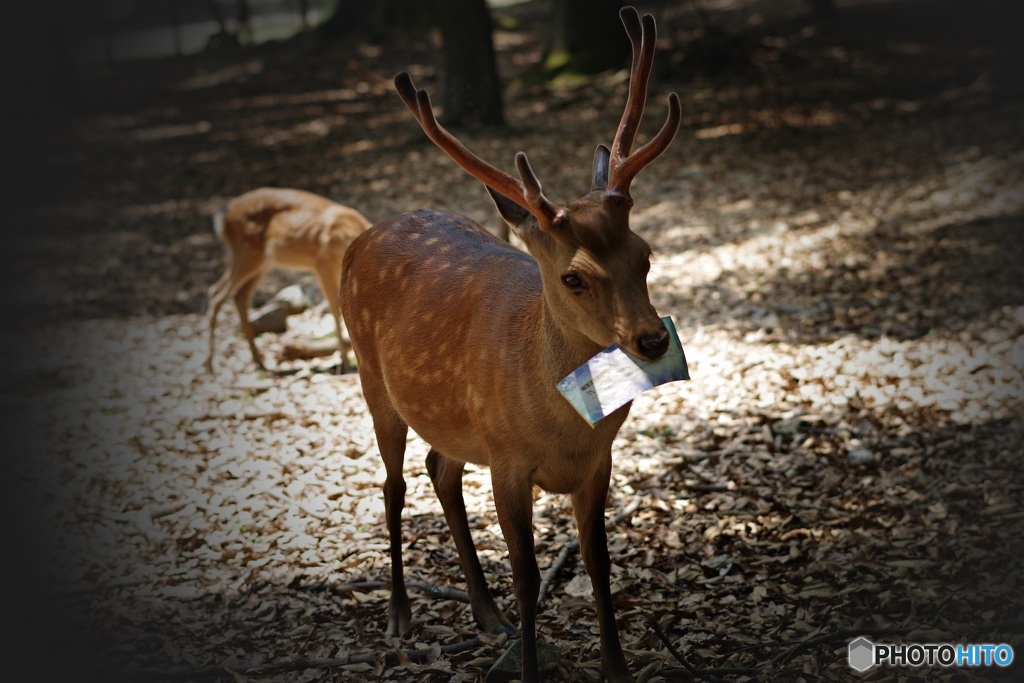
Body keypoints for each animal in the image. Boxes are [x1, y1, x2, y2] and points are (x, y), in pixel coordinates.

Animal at [203, 187, 372, 374]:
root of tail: (223, 214)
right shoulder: (322, 263)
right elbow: (335, 308)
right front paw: (346, 363)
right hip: (246, 253)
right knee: (216, 293)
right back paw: (210, 364)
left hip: (261, 263)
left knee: (239, 295)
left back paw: (258, 361)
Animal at [339, 6, 684, 683]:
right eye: (574, 276)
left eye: (645, 254)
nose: (654, 338)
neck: (564, 430)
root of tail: (360, 238)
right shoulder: (507, 459)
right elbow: (527, 575)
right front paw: (526, 666)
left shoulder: (598, 462)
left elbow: (598, 562)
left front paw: (616, 665)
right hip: (372, 379)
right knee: (393, 485)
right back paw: (400, 615)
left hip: (454, 421)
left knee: (439, 467)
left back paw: (485, 612)